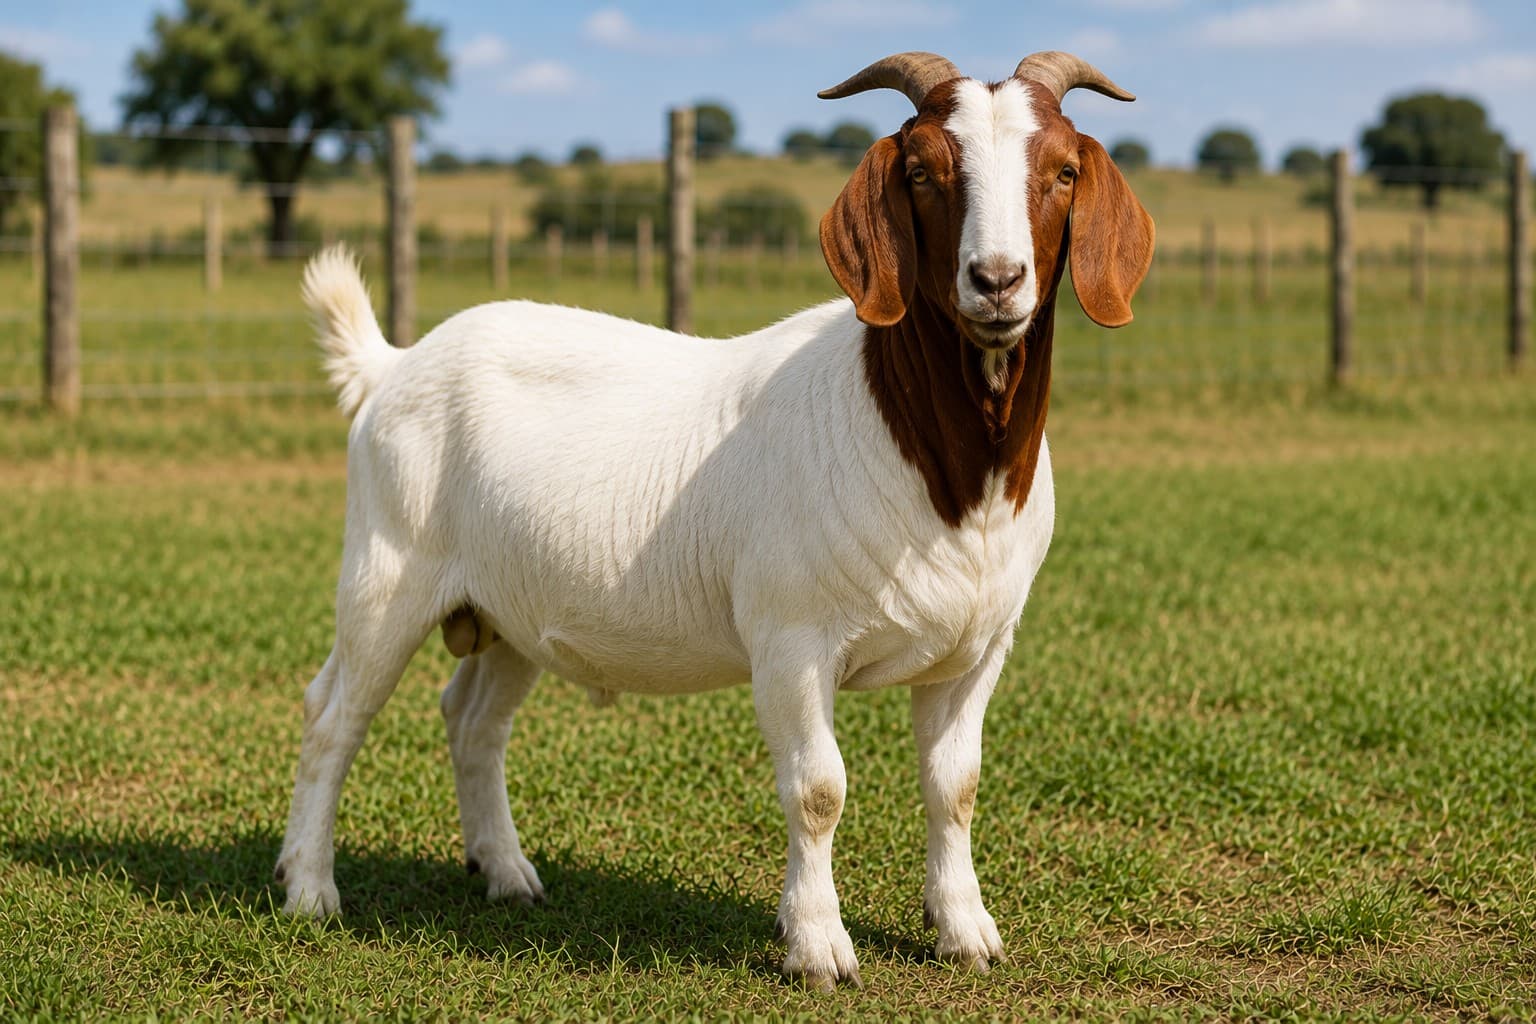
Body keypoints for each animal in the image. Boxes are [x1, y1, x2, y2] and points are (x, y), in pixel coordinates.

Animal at [276, 50, 1153, 990]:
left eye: (1063, 171)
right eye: (921, 171)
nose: (996, 280)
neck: (944, 469)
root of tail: (392, 365)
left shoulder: (980, 646)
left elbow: (955, 784)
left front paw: (964, 931)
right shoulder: (791, 639)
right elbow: (818, 788)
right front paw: (817, 947)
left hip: (509, 610)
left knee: (473, 720)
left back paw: (506, 872)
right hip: (387, 569)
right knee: (333, 714)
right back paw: (309, 889)